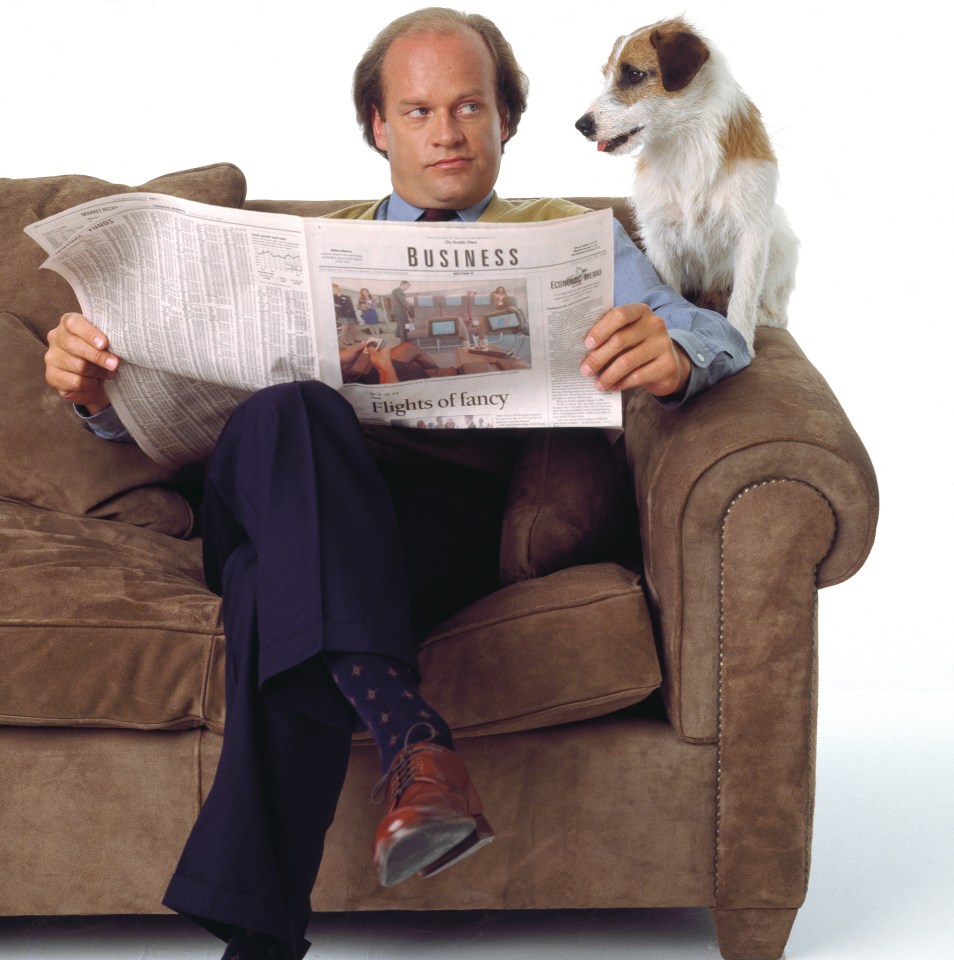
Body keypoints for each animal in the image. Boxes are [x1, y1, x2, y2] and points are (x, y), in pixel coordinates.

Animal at [572, 18, 796, 352]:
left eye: (634, 74)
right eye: (606, 76)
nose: (582, 126)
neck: (686, 142)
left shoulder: (751, 233)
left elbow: (743, 297)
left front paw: (741, 341)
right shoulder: (659, 235)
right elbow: (667, 288)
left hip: (780, 240)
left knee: (777, 314)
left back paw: (762, 316)